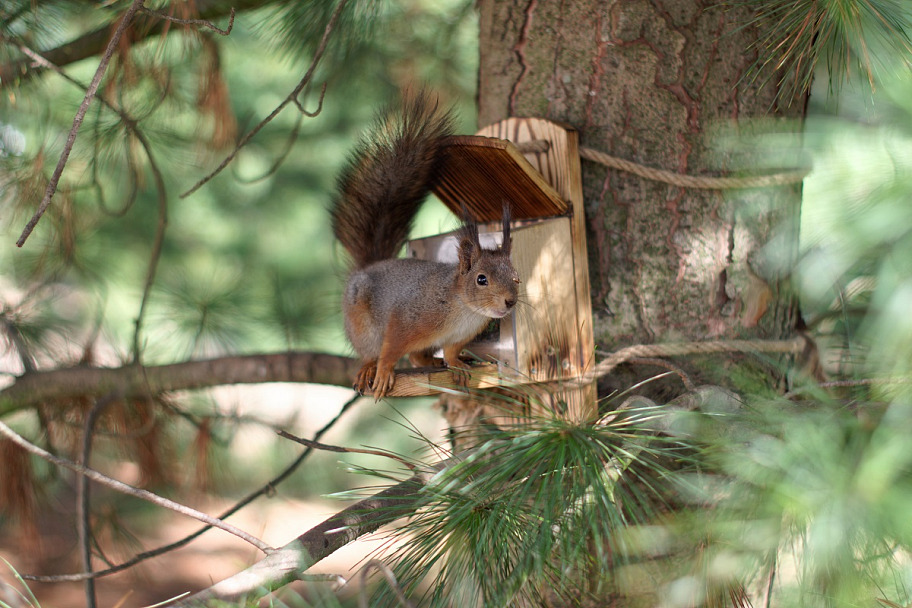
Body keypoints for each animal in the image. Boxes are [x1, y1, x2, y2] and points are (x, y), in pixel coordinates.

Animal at [332, 88, 520, 396]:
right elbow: (391, 349)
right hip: (362, 326)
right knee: (377, 352)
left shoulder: (458, 337)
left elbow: (452, 350)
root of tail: (366, 268)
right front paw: (384, 372)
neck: (464, 309)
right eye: (481, 279)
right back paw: (370, 368)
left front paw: (456, 364)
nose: (510, 301)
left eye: (517, 278)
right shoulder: (408, 319)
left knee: (418, 356)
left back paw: (437, 362)